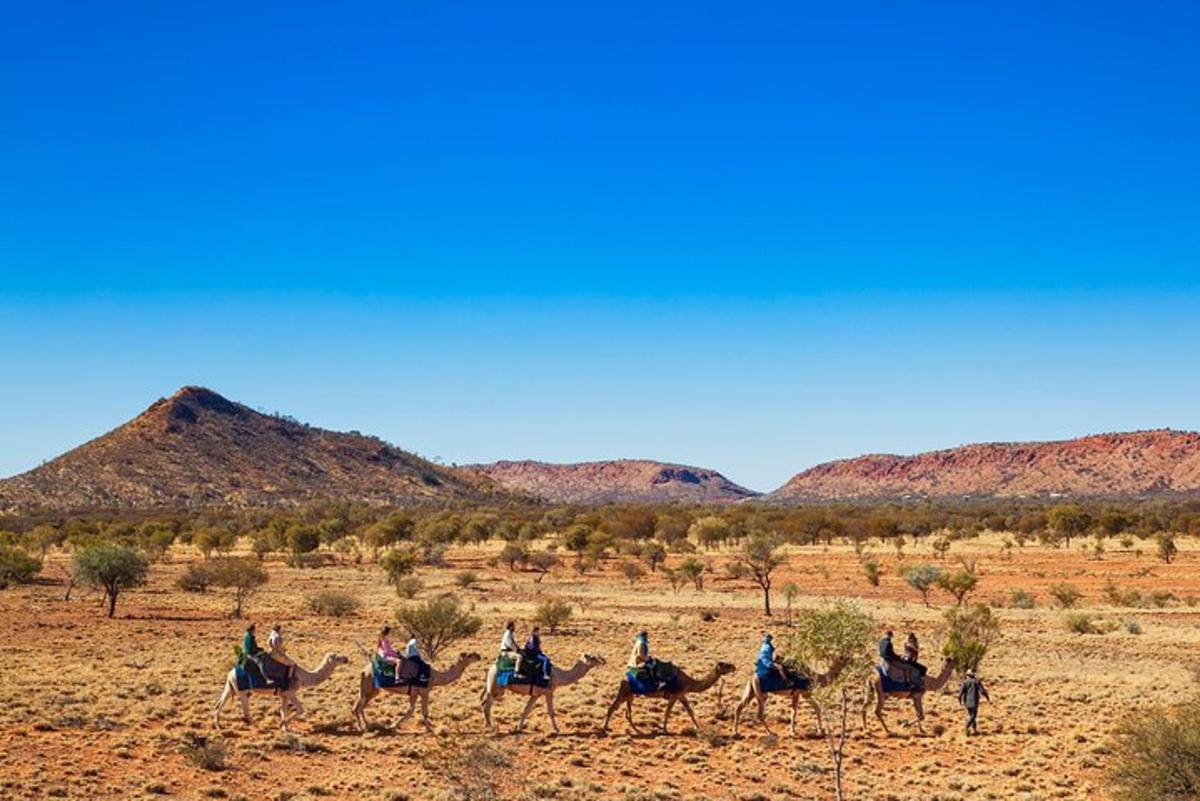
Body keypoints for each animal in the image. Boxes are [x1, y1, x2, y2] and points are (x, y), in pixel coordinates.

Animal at [214, 652, 350, 733]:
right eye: (337, 657)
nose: (346, 659)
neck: (303, 677)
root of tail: (230, 673)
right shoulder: (290, 692)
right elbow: (300, 709)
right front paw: (282, 724)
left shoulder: (283, 695)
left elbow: (283, 710)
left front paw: (284, 727)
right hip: (243, 690)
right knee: (246, 711)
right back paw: (258, 726)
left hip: (230, 686)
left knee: (218, 705)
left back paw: (218, 726)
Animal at [350, 652, 480, 733]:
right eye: (469, 655)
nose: (478, 656)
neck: (435, 677)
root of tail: (363, 671)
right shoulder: (421, 692)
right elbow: (418, 711)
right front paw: (430, 729)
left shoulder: (416, 693)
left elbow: (414, 711)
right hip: (368, 686)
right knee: (358, 707)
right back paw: (362, 728)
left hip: (373, 690)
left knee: (360, 706)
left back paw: (367, 725)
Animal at [597, 661, 729, 733]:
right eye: (725, 665)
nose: (732, 667)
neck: (688, 682)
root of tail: (623, 678)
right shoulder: (676, 695)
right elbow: (668, 712)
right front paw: (664, 729)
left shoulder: (681, 695)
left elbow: (689, 711)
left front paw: (697, 727)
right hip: (625, 691)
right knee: (612, 708)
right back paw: (605, 727)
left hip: (630, 694)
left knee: (627, 712)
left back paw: (635, 729)